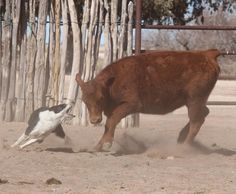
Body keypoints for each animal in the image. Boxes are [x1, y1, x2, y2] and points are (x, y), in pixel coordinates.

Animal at [76, 49, 220, 152]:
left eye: (101, 97)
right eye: (84, 99)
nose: (94, 120)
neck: (113, 82)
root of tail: (206, 54)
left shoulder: (131, 104)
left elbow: (112, 121)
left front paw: (106, 143)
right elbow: (108, 124)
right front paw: (97, 146)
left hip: (194, 100)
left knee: (197, 121)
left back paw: (184, 146)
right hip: (195, 102)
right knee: (203, 114)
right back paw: (181, 138)